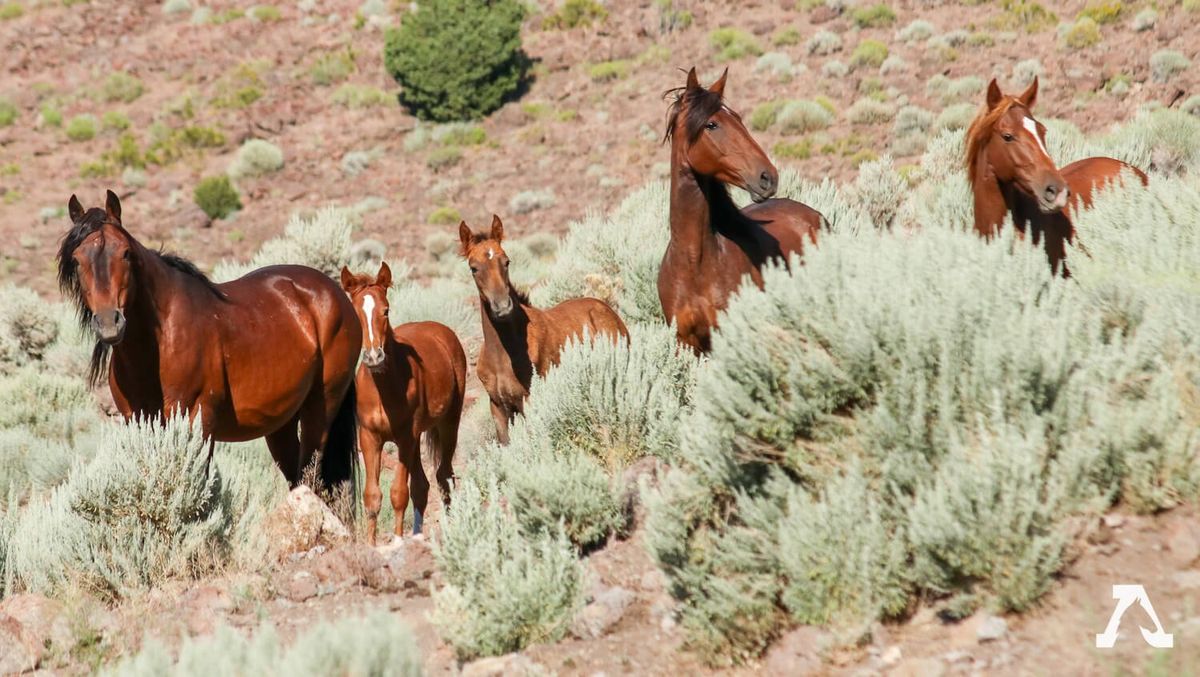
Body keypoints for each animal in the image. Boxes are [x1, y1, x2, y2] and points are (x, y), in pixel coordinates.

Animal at [58, 191, 360, 494]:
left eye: (125, 253)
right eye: (77, 259)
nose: (109, 323)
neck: (159, 344)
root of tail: (335, 293)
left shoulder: (198, 422)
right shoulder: (139, 422)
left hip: (320, 409)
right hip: (281, 423)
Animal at [339, 263, 467, 544]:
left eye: (385, 310)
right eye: (355, 314)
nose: (374, 356)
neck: (383, 389)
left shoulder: (405, 437)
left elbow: (398, 493)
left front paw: (397, 541)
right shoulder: (370, 438)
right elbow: (373, 496)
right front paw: (372, 545)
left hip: (448, 424)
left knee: (443, 476)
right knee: (423, 485)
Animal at [459, 215, 629, 444]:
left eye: (506, 261)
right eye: (473, 268)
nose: (502, 307)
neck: (505, 353)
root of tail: (607, 309)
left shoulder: (529, 402)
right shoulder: (499, 408)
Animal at [660, 67, 824, 354]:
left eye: (737, 118)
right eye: (711, 124)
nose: (768, 177)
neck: (694, 265)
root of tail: (813, 215)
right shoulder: (686, 344)